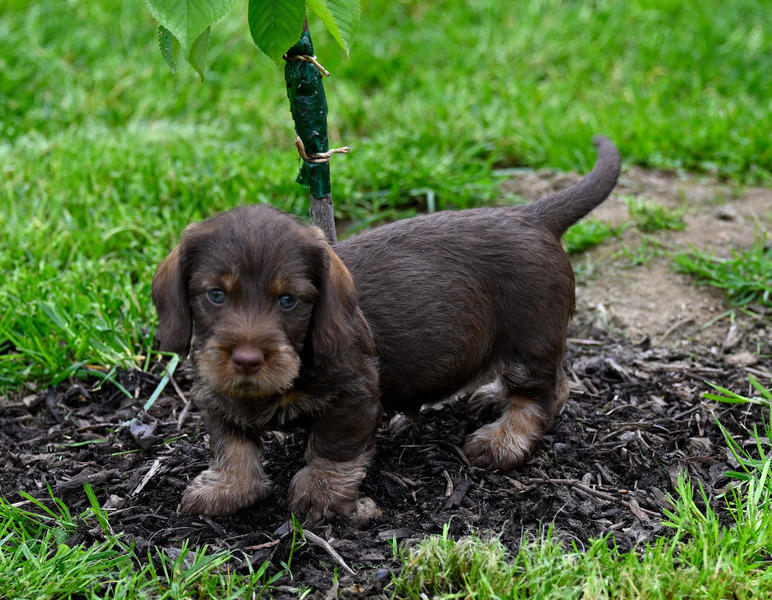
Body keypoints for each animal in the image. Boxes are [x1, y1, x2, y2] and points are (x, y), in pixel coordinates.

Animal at [152, 135, 620, 523]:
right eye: (216, 295)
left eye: (288, 300)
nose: (247, 360)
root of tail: (531, 216)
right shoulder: (219, 398)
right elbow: (231, 448)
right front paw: (227, 489)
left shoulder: (354, 396)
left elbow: (332, 450)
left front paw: (321, 496)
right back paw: (492, 396)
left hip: (530, 343)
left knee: (543, 394)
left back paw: (503, 440)